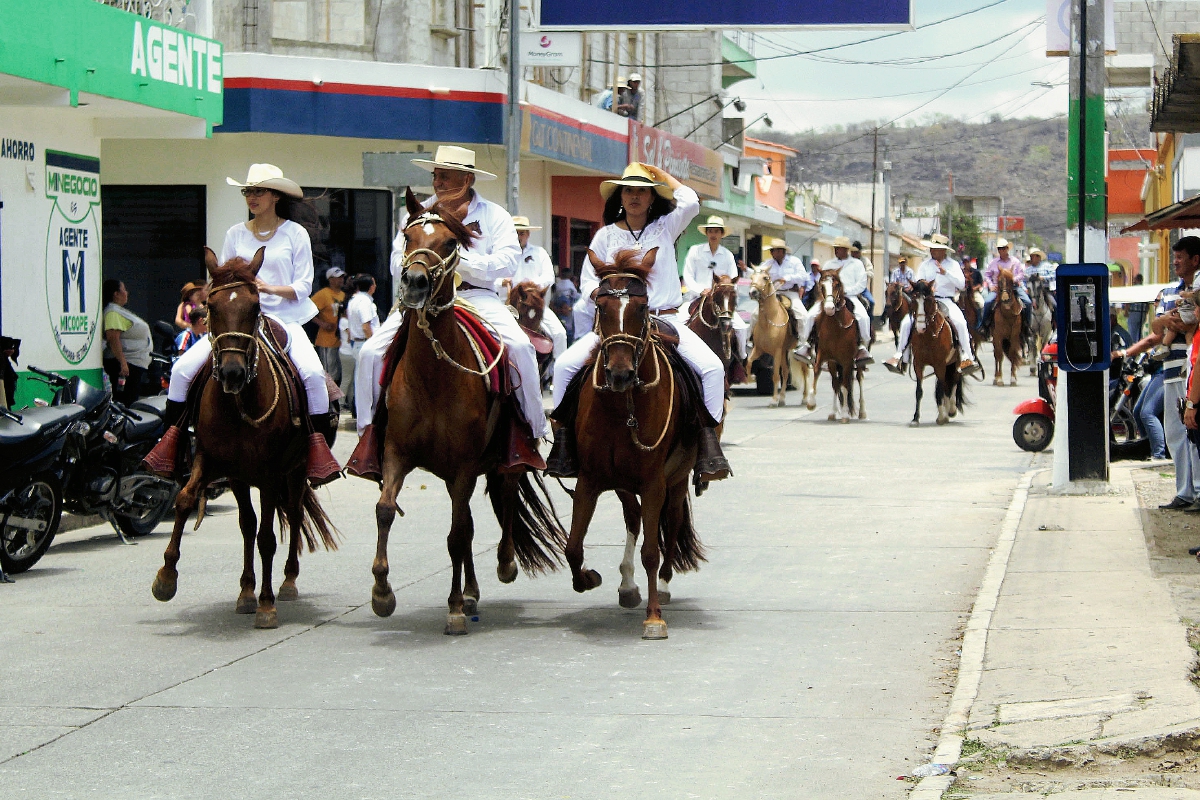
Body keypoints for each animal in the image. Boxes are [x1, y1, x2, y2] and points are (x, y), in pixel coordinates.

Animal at [151, 247, 338, 628]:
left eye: (254, 307)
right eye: (210, 305)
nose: (233, 373)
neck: (239, 404)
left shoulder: (268, 473)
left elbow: (266, 536)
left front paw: (266, 605)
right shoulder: (222, 465)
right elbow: (196, 505)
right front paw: (167, 578)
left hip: (296, 470)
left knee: (294, 511)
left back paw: (288, 582)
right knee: (257, 521)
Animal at [360, 190, 566, 633]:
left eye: (450, 243)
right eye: (407, 236)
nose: (415, 283)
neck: (433, 376)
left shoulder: (464, 465)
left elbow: (457, 534)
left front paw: (454, 606)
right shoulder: (397, 453)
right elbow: (386, 510)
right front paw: (382, 592)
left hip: (499, 459)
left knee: (504, 496)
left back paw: (500, 567)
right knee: (469, 521)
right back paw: (471, 591)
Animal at [566, 247, 705, 642]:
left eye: (642, 308)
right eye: (600, 305)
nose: (620, 374)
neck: (622, 406)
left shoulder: (654, 482)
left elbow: (652, 553)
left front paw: (654, 617)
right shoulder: (590, 480)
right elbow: (573, 546)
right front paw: (587, 578)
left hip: (675, 480)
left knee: (670, 525)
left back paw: (665, 585)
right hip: (624, 482)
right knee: (633, 518)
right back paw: (627, 585)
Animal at [816, 268, 864, 422]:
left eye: (837, 285)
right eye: (822, 285)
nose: (829, 308)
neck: (836, 329)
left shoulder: (847, 361)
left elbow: (844, 385)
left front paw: (844, 415)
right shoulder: (831, 361)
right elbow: (836, 385)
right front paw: (833, 412)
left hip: (858, 362)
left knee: (859, 378)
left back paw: (862, 411)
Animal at [907, 284, 964, 429]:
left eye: (929, 301)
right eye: (913, 301)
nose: (920, 327)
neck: (928, 336)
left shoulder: (940, 365)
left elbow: (940, 390)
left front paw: (942, 416)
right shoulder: (918, 364)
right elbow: (919, 391)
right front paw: (915, 418)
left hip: (955, 364)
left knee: (953, 382)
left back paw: (951, 409)